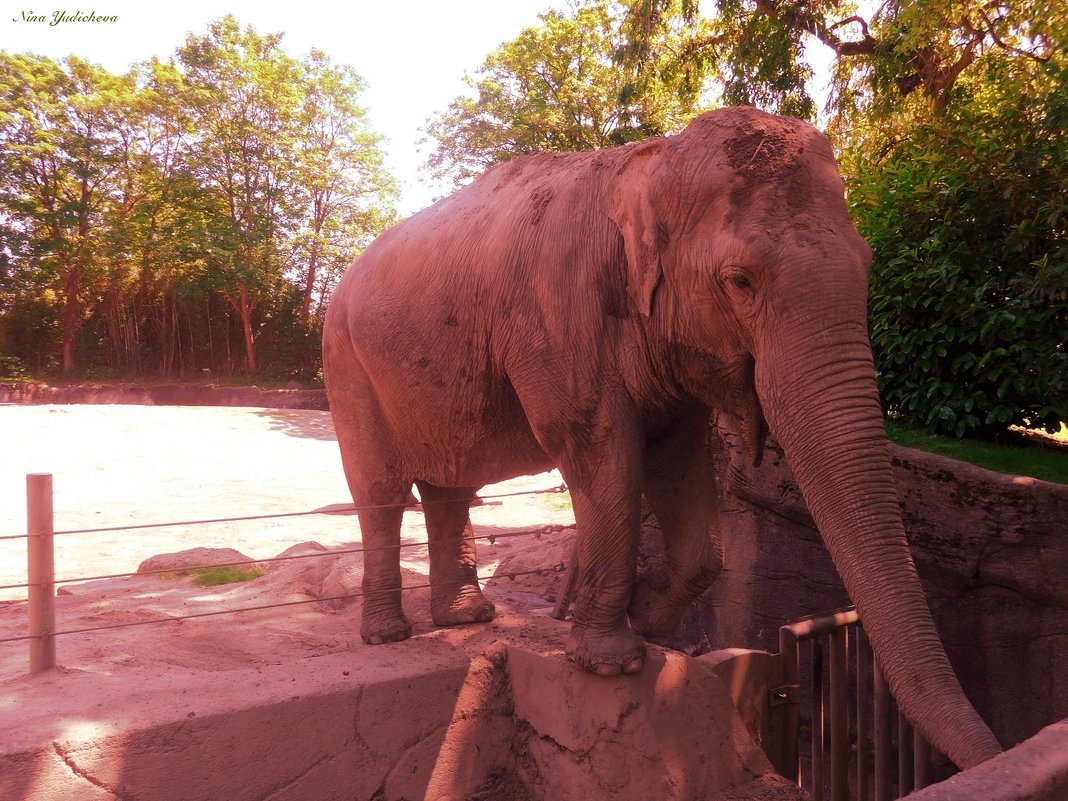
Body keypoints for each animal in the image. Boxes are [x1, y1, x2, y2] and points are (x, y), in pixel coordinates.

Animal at [322, 106, 999, 773]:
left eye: (868, 265)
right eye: (740, 281)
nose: (996, 757)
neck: (651, 162)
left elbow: (679, 466)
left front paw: (651, 623)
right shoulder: (557, 315)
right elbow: (599, 448)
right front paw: (611, 661)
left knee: (447, 488)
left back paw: (468, 617)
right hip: (346, 363)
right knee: (381, 490)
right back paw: (389, 634)